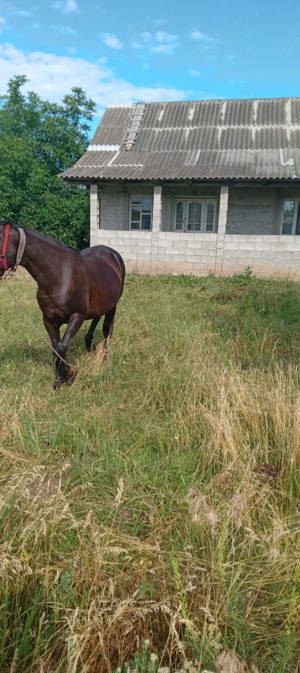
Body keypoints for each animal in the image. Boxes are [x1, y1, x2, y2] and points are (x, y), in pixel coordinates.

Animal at [0, 220, 125, 388]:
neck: (59, 276)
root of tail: (113, 254)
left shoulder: (77, 316)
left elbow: (61, 346)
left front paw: (69, 375)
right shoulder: (49, 320)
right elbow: (55, 347)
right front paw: (60, 380)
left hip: (112, 305)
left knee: (106, 330)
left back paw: (104, 359)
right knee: (96, 318)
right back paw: (89, 344)